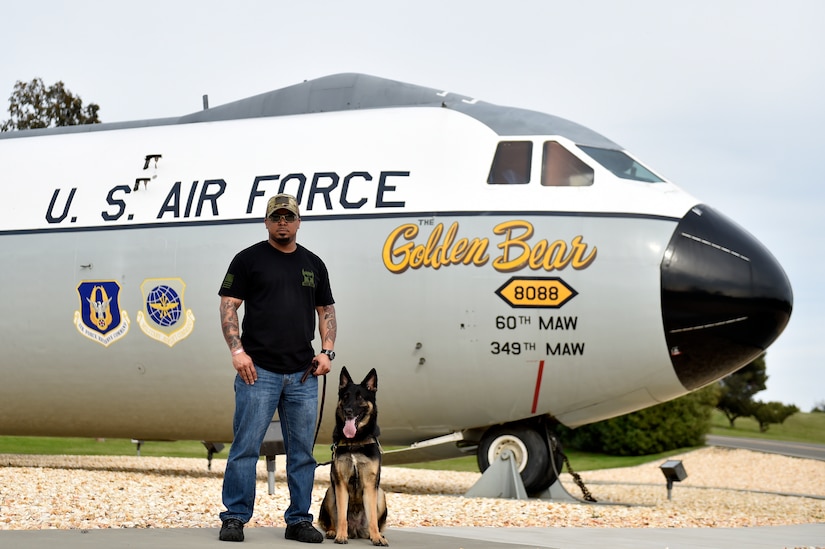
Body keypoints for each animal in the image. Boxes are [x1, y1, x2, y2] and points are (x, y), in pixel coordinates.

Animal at [318, 368, 390, 544]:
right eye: (345, 397)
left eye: (360, 397)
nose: (348, 411)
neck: (355, 440)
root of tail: (356, 530)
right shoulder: (341, 484)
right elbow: (342, 516)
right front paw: (341, 536)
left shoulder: (370, 485)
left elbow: (372, 518)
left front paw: (376, 538)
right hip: (330, 492)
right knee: (334, 521)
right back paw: (333, 531)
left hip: (380, 494)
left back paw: (375, 534)